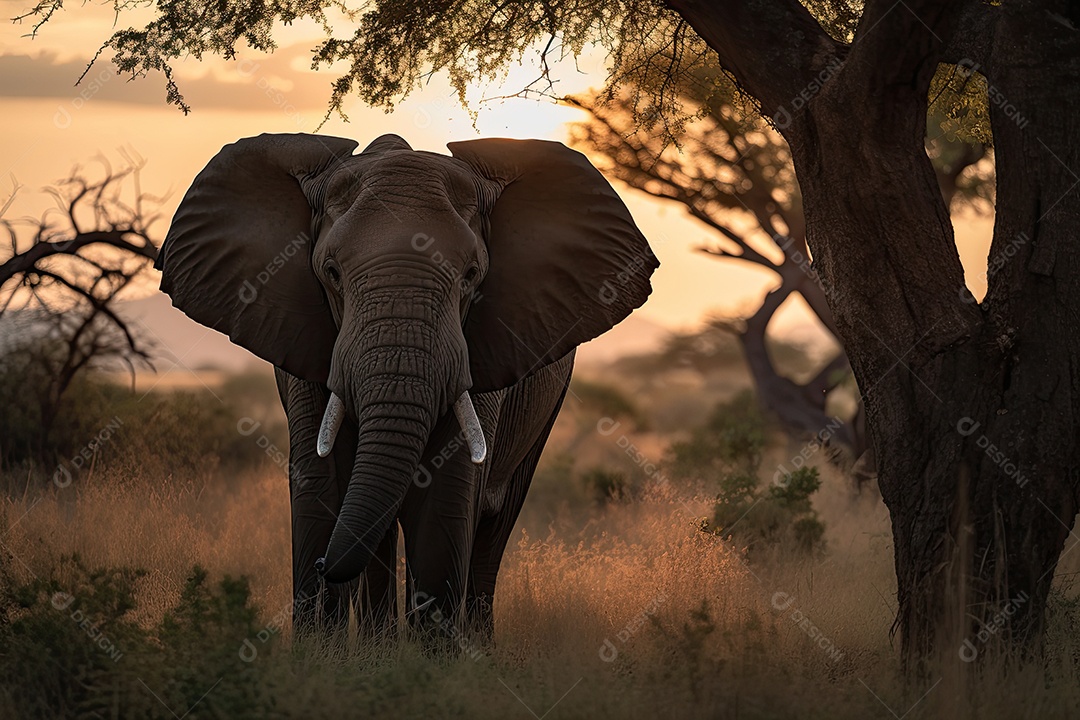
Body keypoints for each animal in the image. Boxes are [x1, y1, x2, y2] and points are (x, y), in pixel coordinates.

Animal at [154, 132, 656, 643]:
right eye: (331, 272)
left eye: (471, 276)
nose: (324, 564)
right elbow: (322, 481)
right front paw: (325, 655)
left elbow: (445, 491)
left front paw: (431, 660)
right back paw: (377, 643)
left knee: (495, 524)